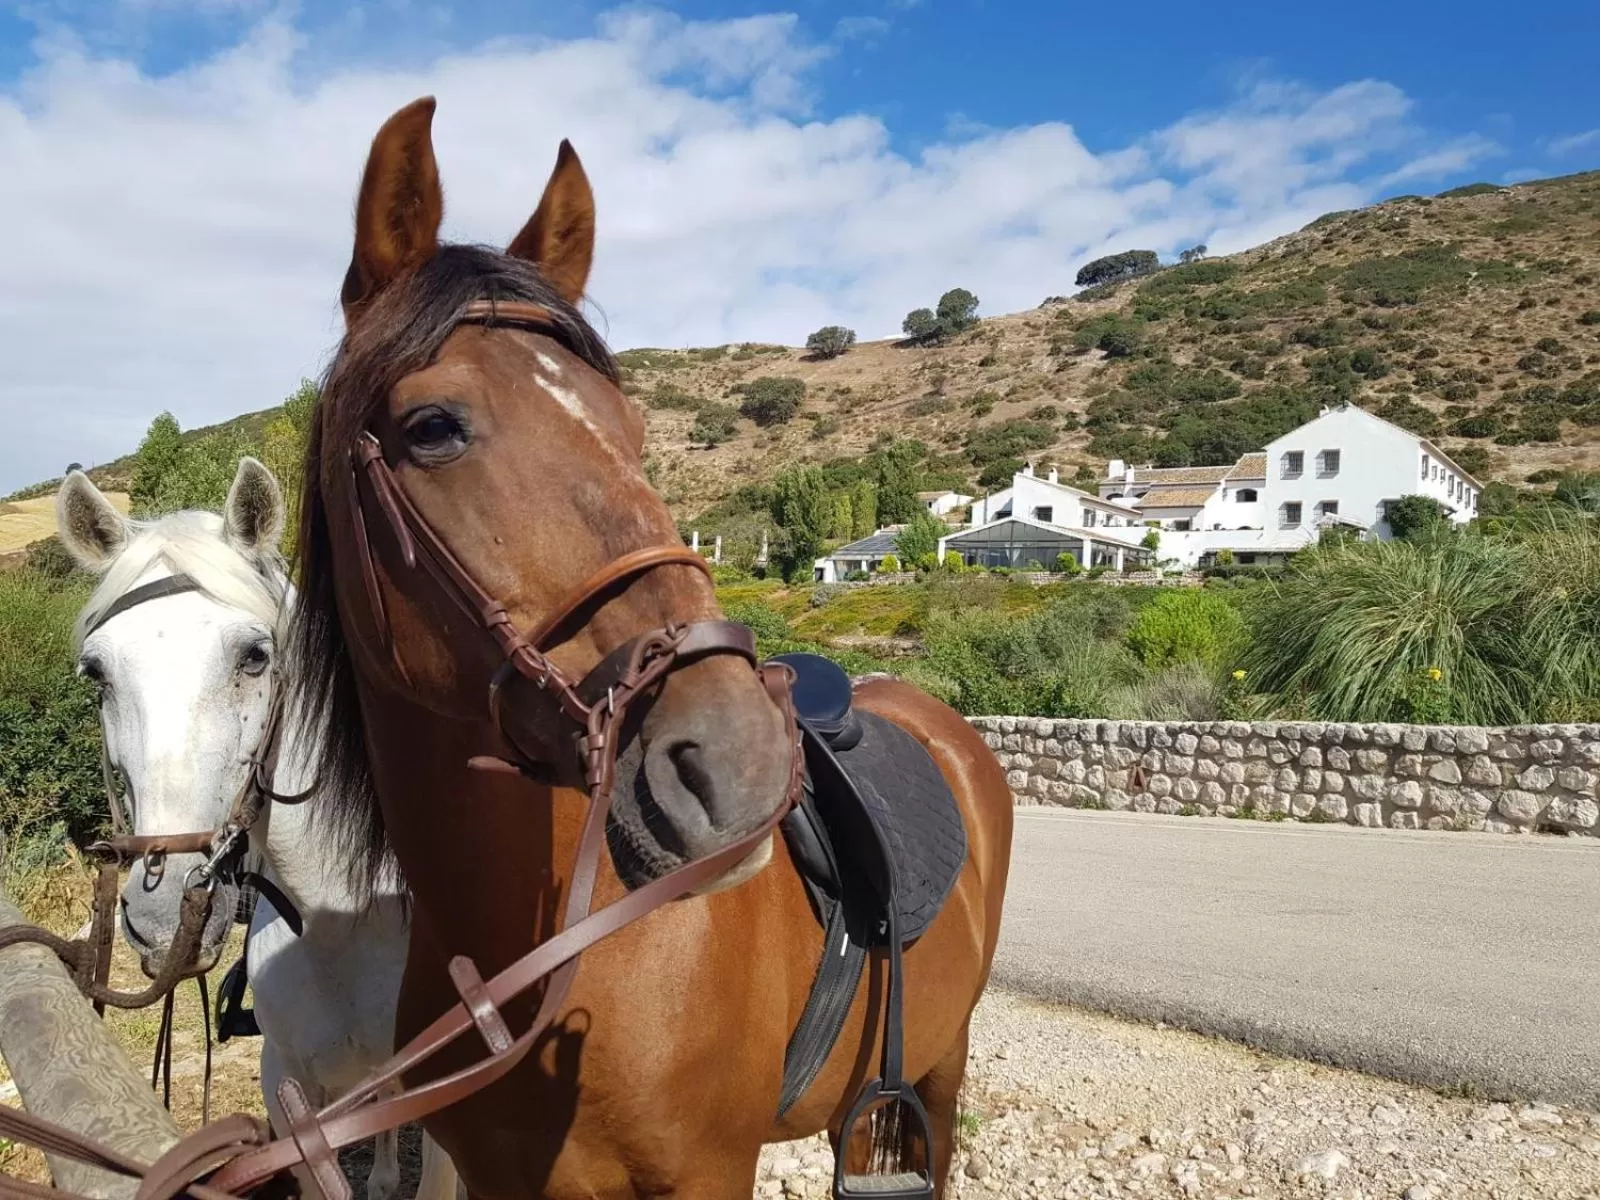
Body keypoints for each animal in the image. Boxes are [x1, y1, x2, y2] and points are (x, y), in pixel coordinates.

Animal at [284, 95, 1014, 1200]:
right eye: (433, 427)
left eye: (630, 429)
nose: (739, 762)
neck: (554, 961)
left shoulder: (709, 1171)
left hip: (940, 1072)